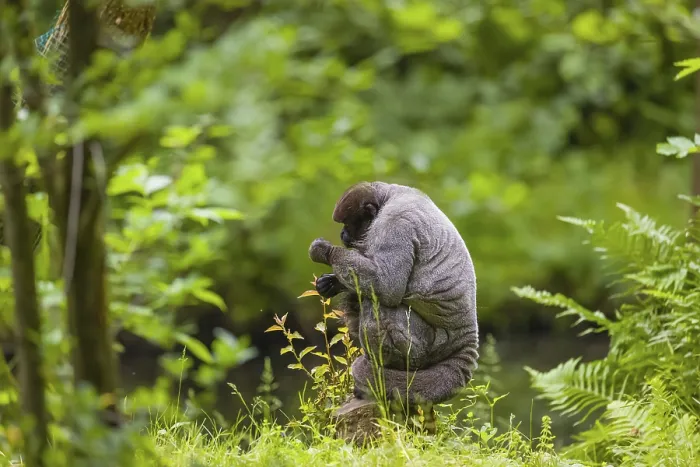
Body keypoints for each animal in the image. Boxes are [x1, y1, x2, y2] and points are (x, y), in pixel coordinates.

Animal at [308, 181, 479, 406]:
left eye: (347, 223)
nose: (342, 233)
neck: (388, 196)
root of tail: (468, 337)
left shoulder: (394, 225)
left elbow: (387, 285)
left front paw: (325, 251)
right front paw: (331, 283)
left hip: (429, 346)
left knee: (378, 305)